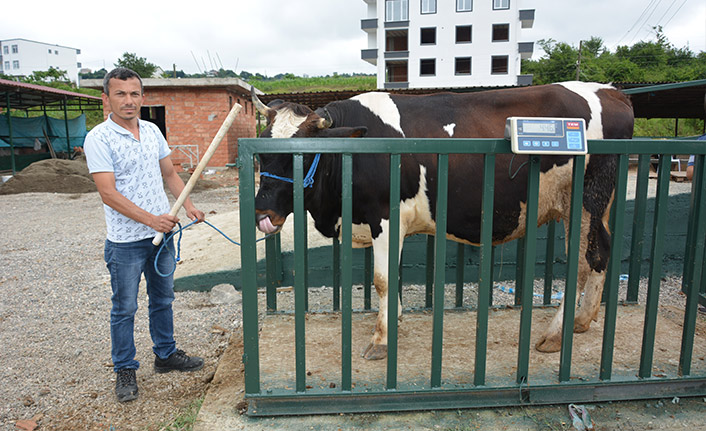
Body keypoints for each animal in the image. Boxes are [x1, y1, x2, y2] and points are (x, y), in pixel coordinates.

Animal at [252, 82, 632, 360]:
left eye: (303, 156)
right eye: (259, 154)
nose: (263, 215)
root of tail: (611, 92)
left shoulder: (385, 215)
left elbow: (382, 279)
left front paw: (382, 340)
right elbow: (393, 276)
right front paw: (395, 318)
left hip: (586, 200)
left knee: (582, 262)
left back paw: (555, 334)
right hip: (595, 206)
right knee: (602, 251)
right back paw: (582, 320)